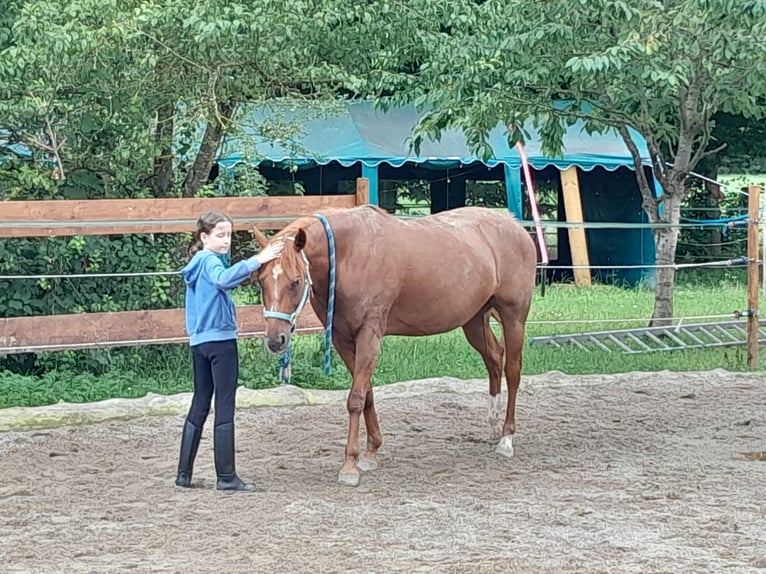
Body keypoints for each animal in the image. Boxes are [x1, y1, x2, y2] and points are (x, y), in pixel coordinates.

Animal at [252, 205, 536, 488]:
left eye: (295, 281)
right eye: (261, 280)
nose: (275, 340)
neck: (350, 254)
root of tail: (514, 225)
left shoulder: (370, 336)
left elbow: (356, 399)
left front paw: (349, 465)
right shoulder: (343, 341)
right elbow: (367, 394)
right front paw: (370, 453)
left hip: (513, 318)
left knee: (512, 371)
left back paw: (506, 438)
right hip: (474, 321)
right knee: (494, 360)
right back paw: (493, 427)